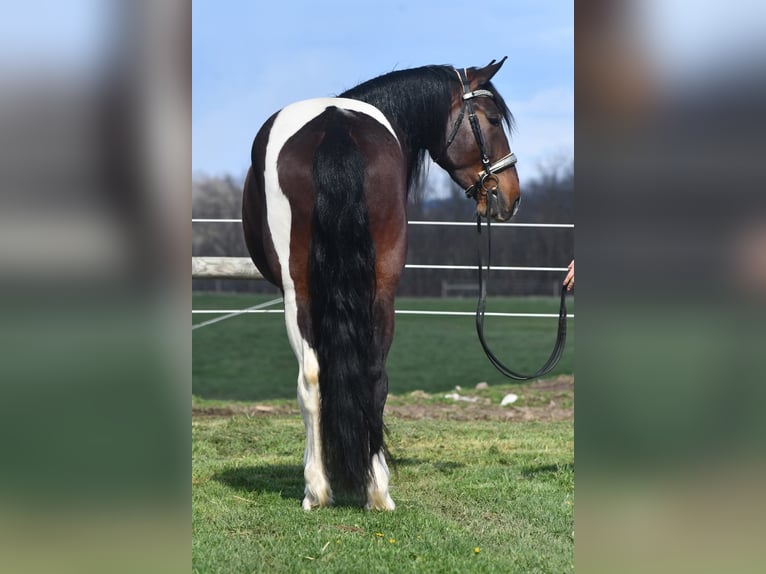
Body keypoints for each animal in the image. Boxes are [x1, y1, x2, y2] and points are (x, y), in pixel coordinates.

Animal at [242, 58, 520, 510]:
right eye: (492, 119)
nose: (510, 195)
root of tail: (335, 126)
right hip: (377, 289)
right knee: (367, 374)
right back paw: (371, 489)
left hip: (301, 293)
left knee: (314, 377)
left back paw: (324, 489)